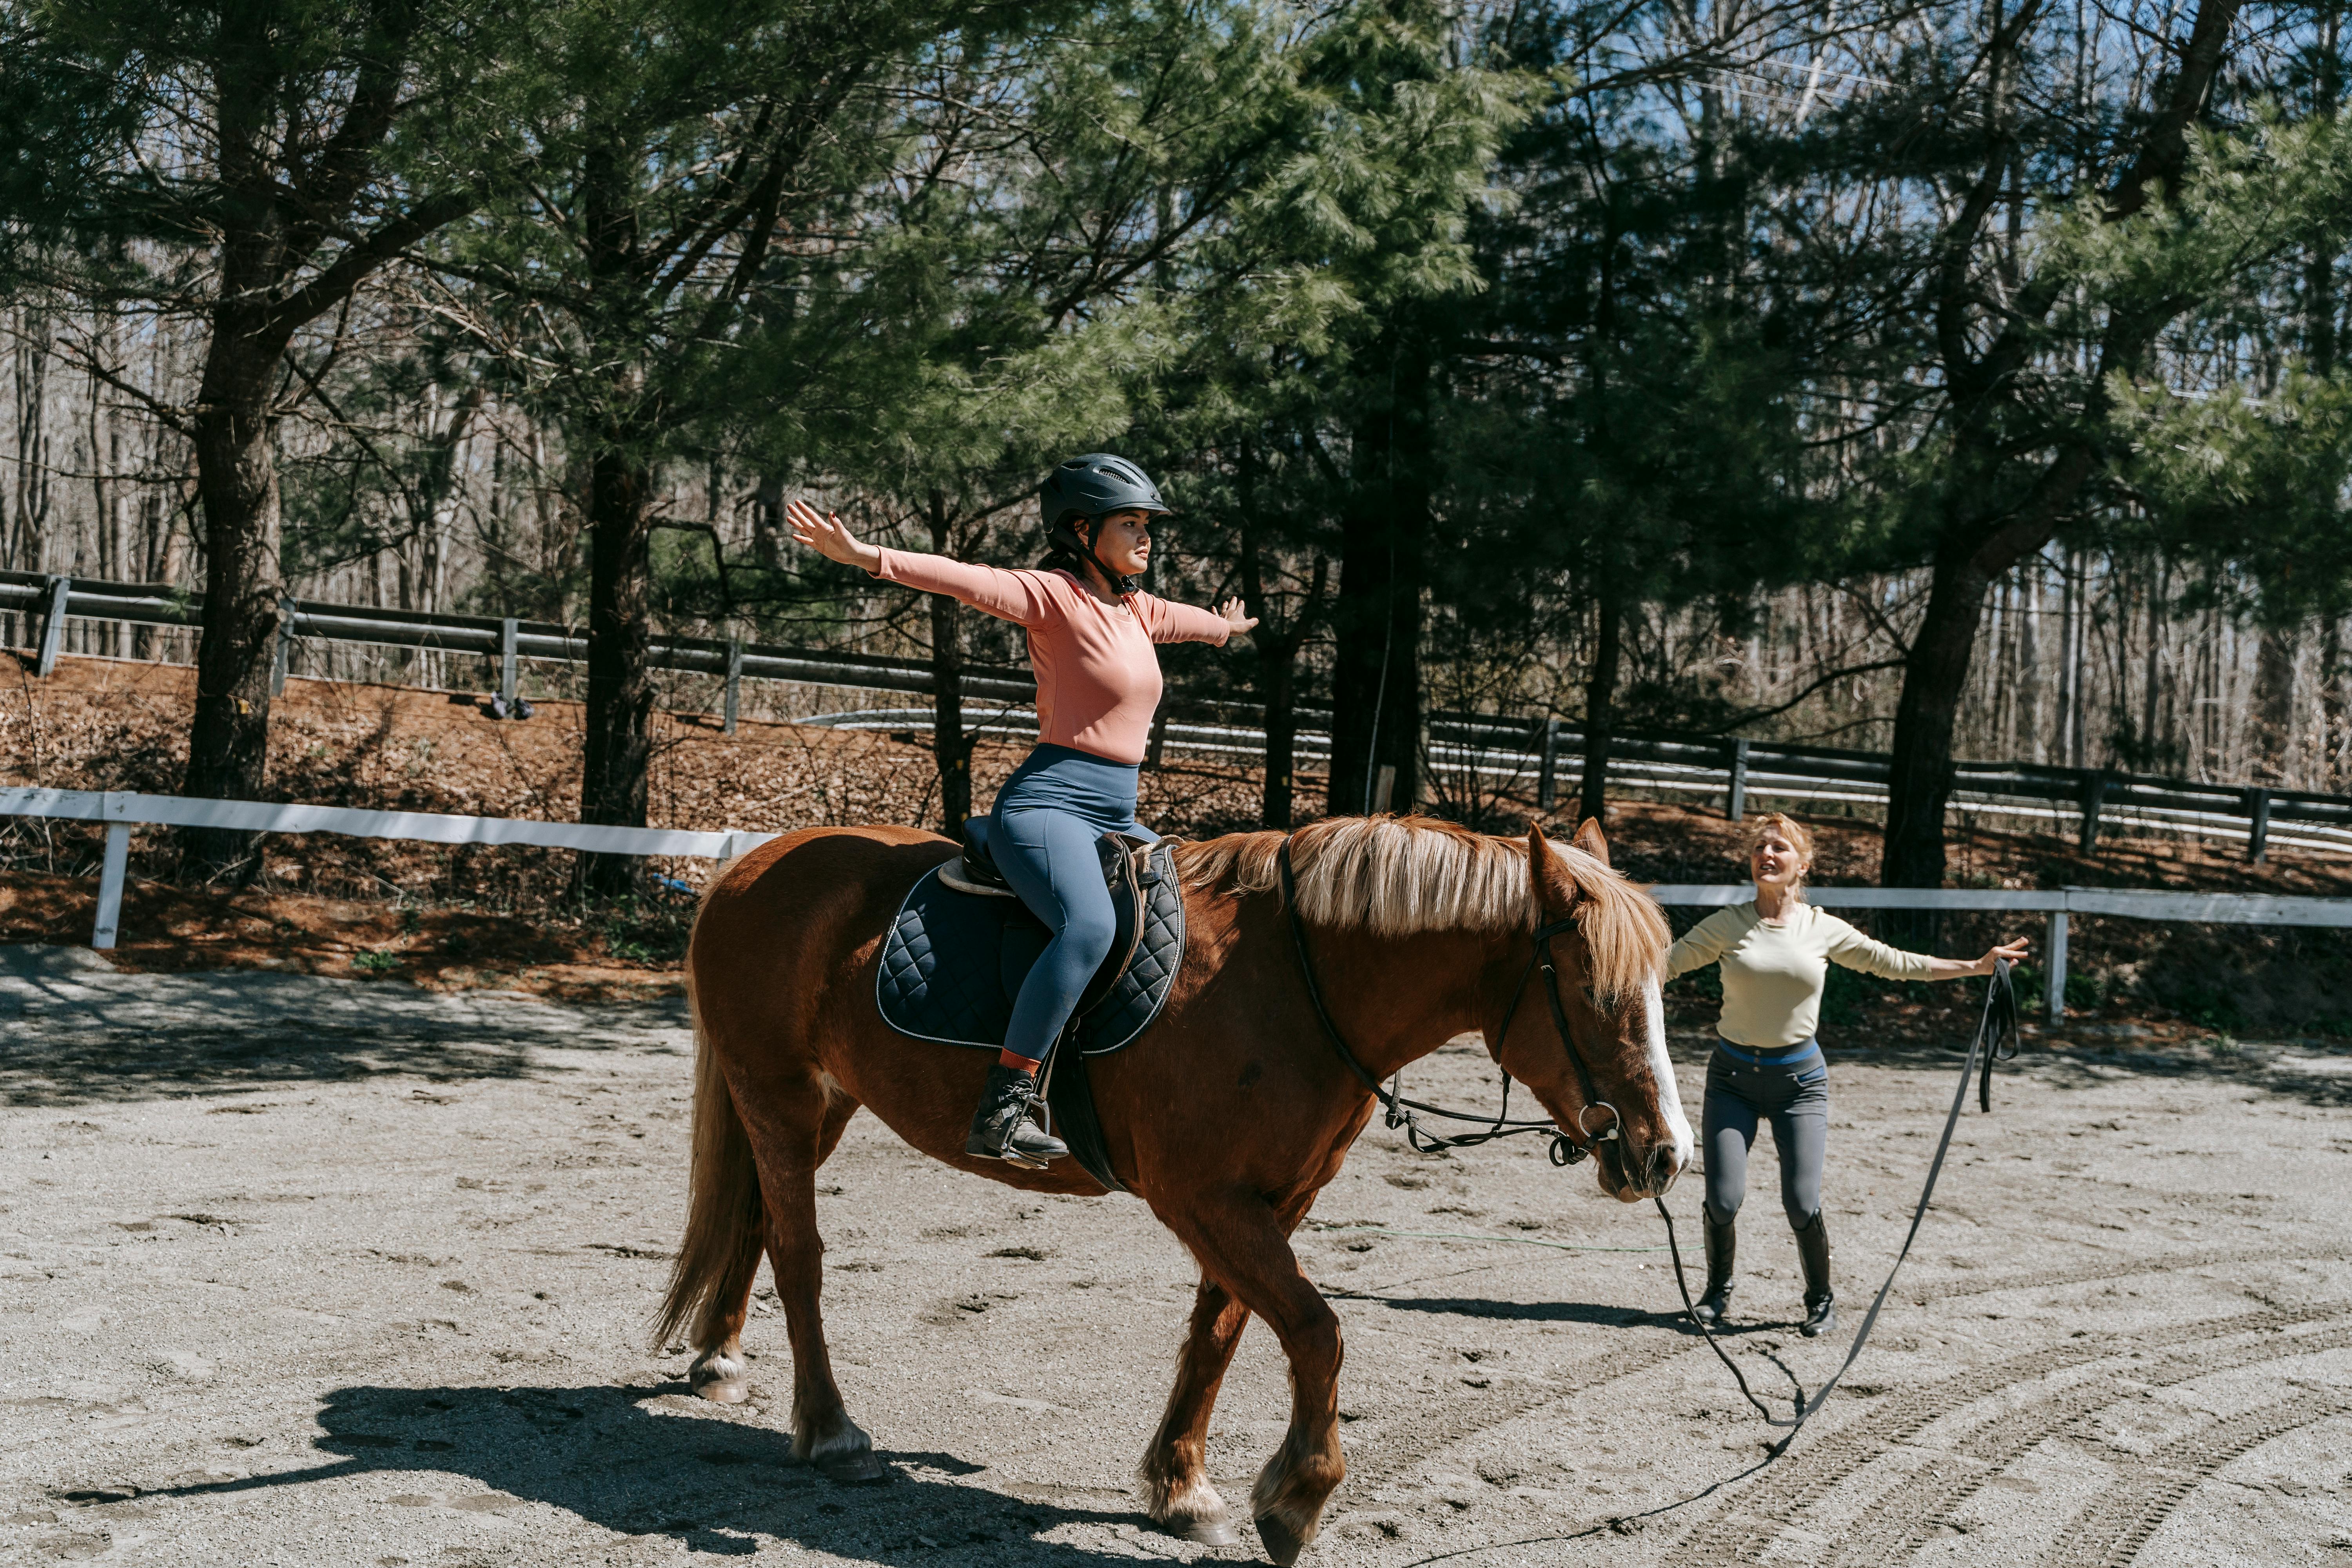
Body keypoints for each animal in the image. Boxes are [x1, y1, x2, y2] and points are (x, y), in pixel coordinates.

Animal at [663, 818, 1693, 1561]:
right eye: (1596, 991)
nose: (1666, 1154)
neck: (1296, 984)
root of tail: (752, 864)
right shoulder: (1206, 1200)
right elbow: (1315, 1329)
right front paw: (1296, 1496)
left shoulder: (1267, 1202)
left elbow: (1221, 1331)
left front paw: (1180, 1484)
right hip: (780, 1095)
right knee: (798, 1252)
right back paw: (831, 1429)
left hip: (819, 1104)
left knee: (754, 1221)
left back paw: (719, 1355)